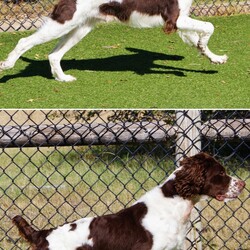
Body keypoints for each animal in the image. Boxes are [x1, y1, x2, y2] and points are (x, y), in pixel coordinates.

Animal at [0, 0, 227, 81]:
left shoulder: (180, 21)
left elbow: (200, 38)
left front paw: (214, 57)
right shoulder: (174, 18)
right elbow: (210, 26)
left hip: (81, 28)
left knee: (54, 55)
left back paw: (63, 78)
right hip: (64, 23)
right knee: (24, 41)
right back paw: (7, 65)